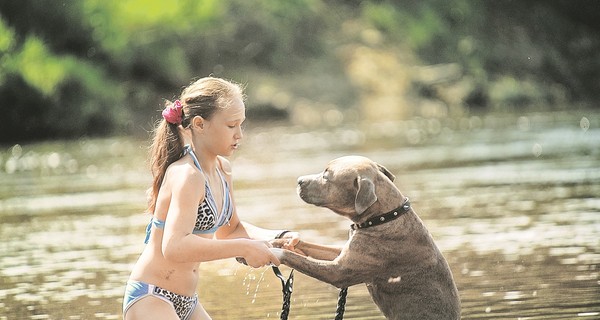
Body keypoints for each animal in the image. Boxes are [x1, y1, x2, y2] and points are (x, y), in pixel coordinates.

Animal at [272, 156, 460, 318]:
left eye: (326, 176)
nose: (299, 180)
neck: (383, 218)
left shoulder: (338, 271)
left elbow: (296, 259)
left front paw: (274, 252)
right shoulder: (343, 253)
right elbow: (310, 246)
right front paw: (282, 241)